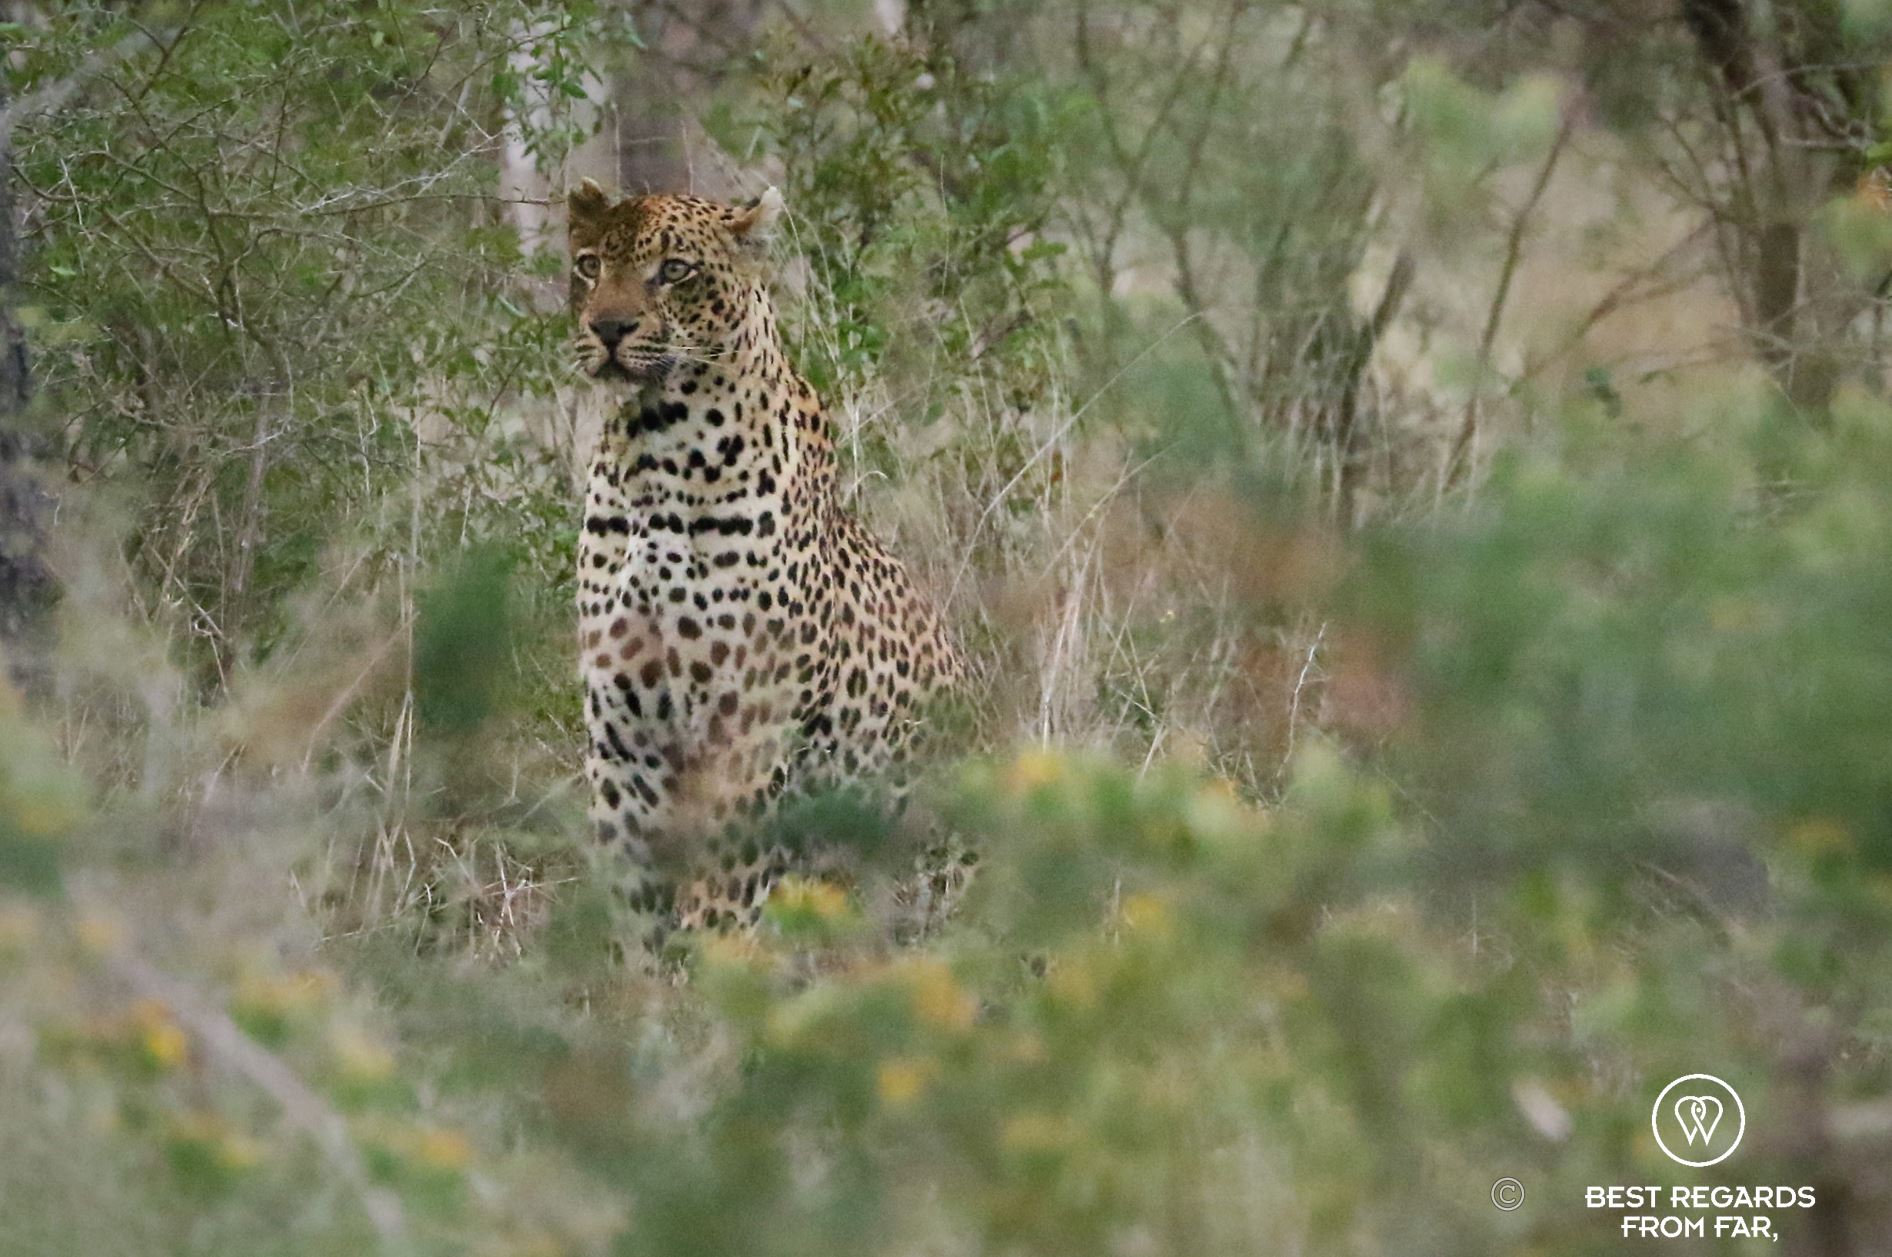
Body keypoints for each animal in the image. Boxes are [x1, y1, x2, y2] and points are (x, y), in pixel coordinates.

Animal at [565, 179, 967, 940]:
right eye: (588, 265)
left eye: (675, 270)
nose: (608, 329)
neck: (649, 453)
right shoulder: (623, 741)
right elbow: (635, 911)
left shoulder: (746, 728)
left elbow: (719, 902)